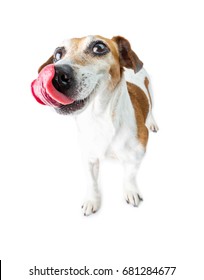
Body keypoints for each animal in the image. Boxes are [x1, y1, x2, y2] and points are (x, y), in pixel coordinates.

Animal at [31, 34, 159, 214]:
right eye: (57, 54)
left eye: (99, 47)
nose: (56, 74)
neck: (99, 118)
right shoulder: (89, 159)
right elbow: (92, 182)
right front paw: (92, 201)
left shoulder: (137, 155)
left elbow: (130, 176)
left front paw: (131, 191)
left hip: (151, 92)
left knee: (151, 108)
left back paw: (152, 122)